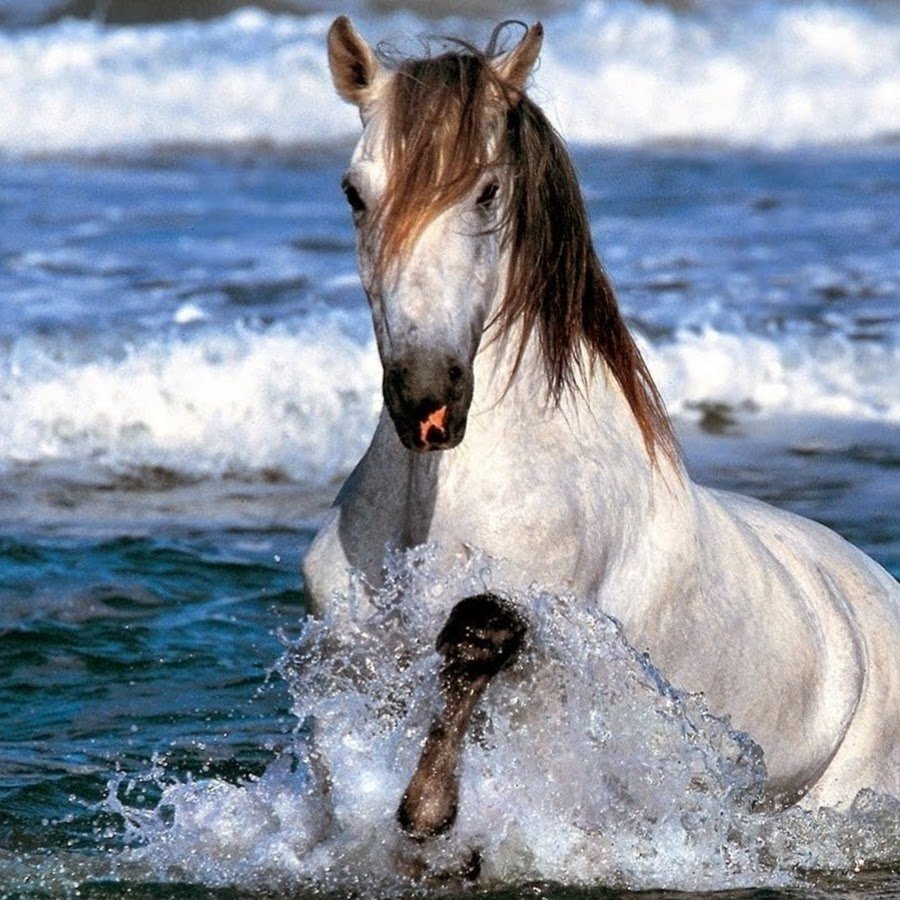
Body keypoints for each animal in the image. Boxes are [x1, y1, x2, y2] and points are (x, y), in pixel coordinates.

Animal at [302, 16, 900, 825]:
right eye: (353, 193)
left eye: (488, 192)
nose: (427, 397)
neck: (430, 504)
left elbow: (478, 642)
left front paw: (431, 813)